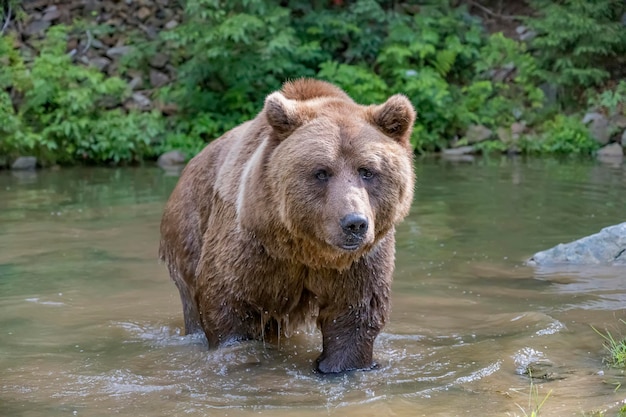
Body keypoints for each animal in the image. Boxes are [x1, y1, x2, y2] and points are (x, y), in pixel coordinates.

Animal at [160, 79, 414, 374]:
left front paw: (336, 367)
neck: (306, 249)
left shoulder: (360, 262)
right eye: (321, 172)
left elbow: (353, 316)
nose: (354, 223)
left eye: (367, 171)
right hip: (187, 235)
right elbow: (229, 302)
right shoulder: (252, 245)